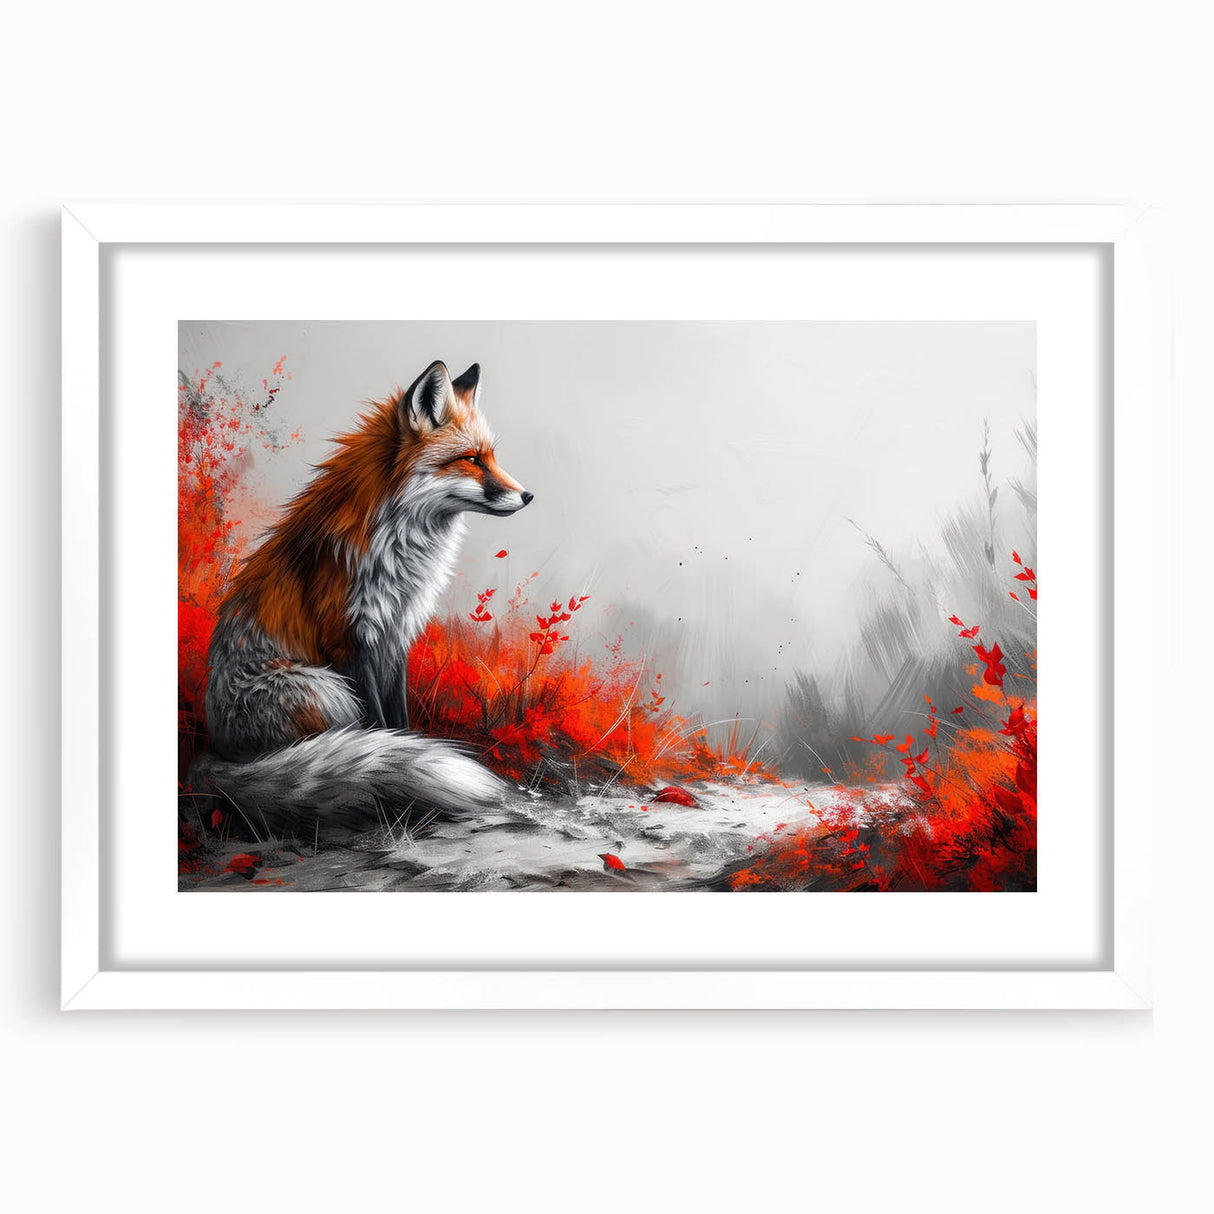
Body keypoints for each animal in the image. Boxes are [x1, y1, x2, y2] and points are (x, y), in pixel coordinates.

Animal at [191, 360, 533, 831]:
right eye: (471, 460)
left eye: (492, 457)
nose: (528, 495)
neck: (400, 550)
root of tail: (215, 752)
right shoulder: (349, 638)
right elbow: (378, 723)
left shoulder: (396, 632)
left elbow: (399, 722)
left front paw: (414, 753)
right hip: (325, 688)